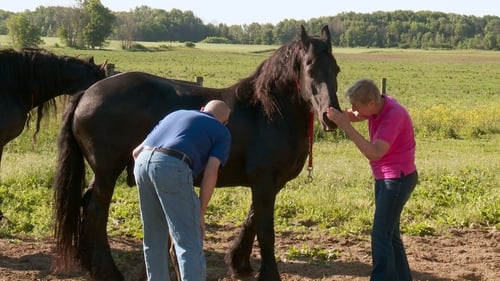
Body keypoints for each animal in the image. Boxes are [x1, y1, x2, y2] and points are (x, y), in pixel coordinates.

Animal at [54, 24, 342, 280]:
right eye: (310, 68)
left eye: (336, 69)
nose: (331, 117)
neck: (266, 111)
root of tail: (87, 93)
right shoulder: (263, 181)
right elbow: (265, 230)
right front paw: (268, 274)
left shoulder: (270, 183)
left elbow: (251, 219)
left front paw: (239, 264)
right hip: (107, 172)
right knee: (96, 213)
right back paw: (108, 272)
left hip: (101, 173)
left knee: (86, 205)